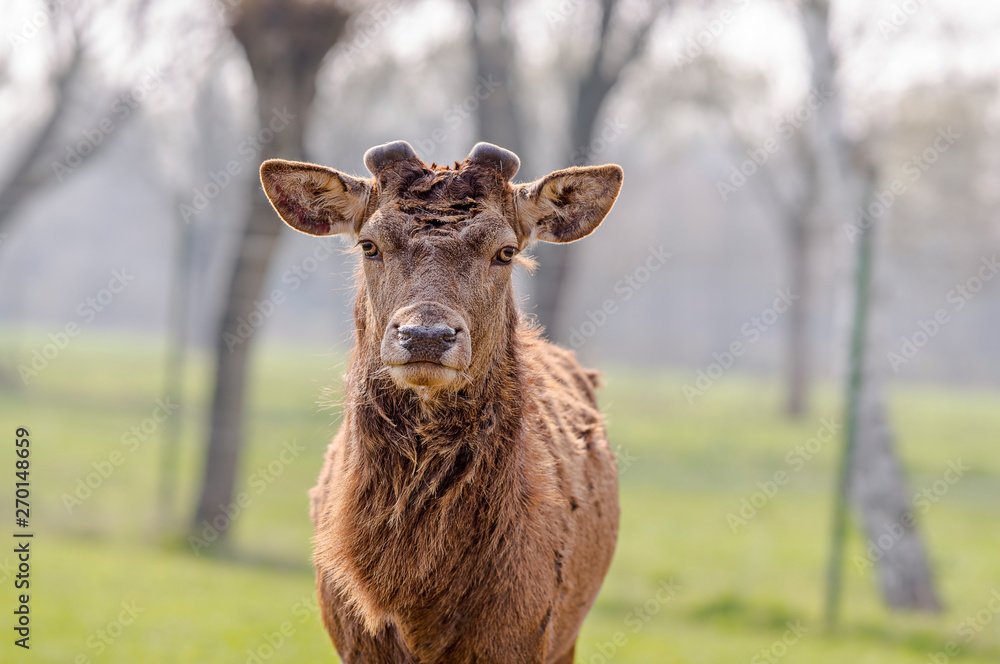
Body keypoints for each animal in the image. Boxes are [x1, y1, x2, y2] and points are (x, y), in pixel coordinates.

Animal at [259, 140, 623, 663]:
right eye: (369, 245)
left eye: (505, 251)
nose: (426, 335)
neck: (417, 597)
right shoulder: (355, 642)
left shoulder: (525, 633)